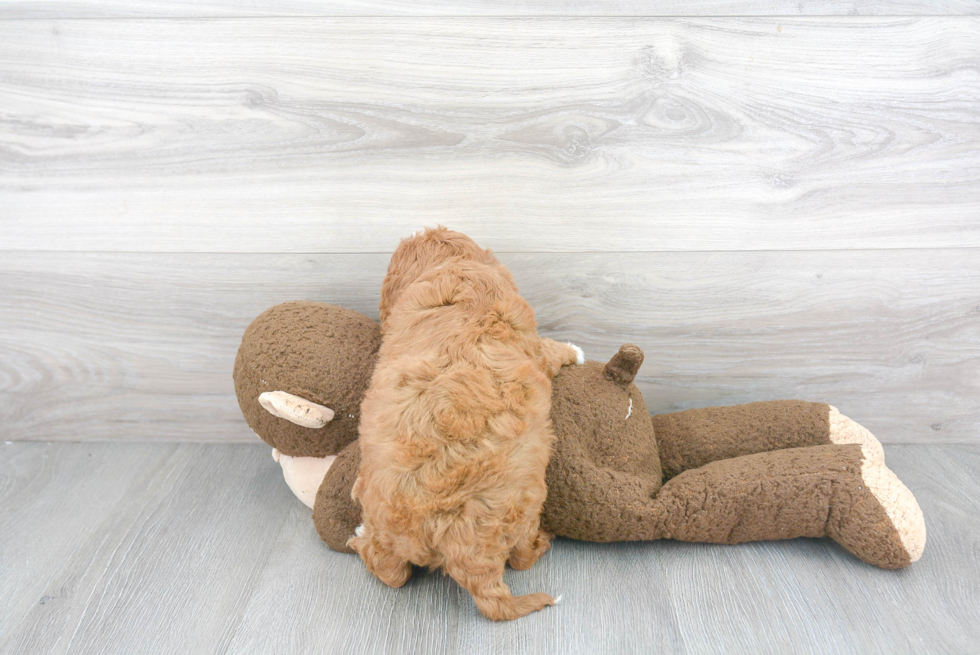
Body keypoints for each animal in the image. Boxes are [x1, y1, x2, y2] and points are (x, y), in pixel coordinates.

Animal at [348, 228, 580, 624]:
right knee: (522, 557)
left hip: (391, 527)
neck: (451, 268)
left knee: (391, 572)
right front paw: (574, 350)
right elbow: (550, 350)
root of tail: (465, 551)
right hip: (529, 504)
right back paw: (543, 541)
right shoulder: (531, 338)